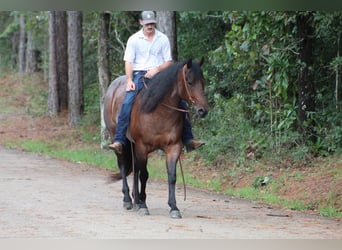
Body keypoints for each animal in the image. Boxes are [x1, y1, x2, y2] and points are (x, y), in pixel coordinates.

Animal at [103, 57, 208, 218]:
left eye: (203, 82)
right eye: (189, 82)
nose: (203, 110)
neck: (159, 110)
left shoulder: (173, 147)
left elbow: (172, 176)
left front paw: (174, 207)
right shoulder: (142, 146)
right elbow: (144, 175)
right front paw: (143, 206)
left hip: (133, 145)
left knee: (135, 168)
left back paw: (136, 199)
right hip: (118, 138)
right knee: (123, 165)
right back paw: (128, 200)